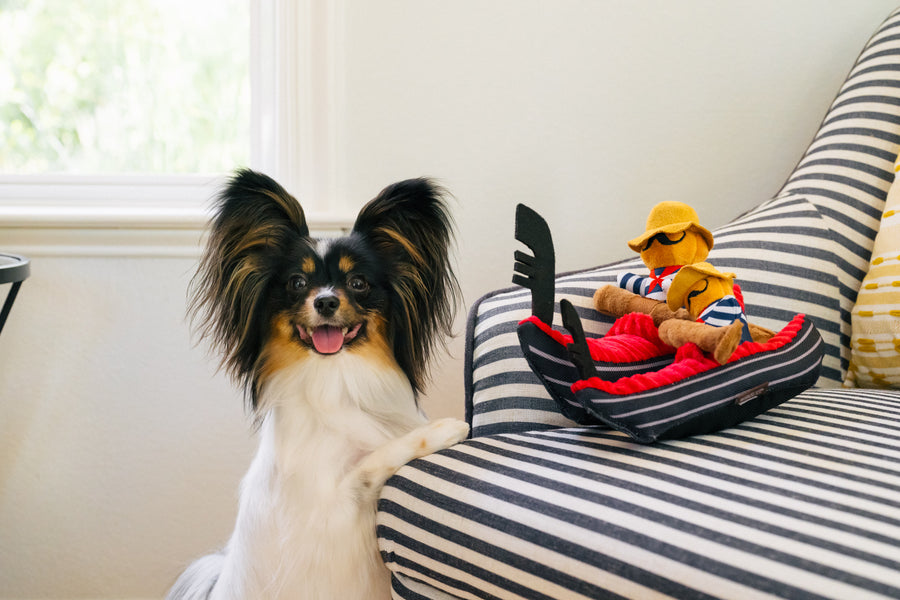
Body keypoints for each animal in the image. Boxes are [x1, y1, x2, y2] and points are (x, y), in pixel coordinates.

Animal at [166, 169, 472, 600]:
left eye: (358, 282)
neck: (337, 379)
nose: (325, 301)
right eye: (297, 282)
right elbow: (372, 462)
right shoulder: (334, 512)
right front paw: (446, 428)